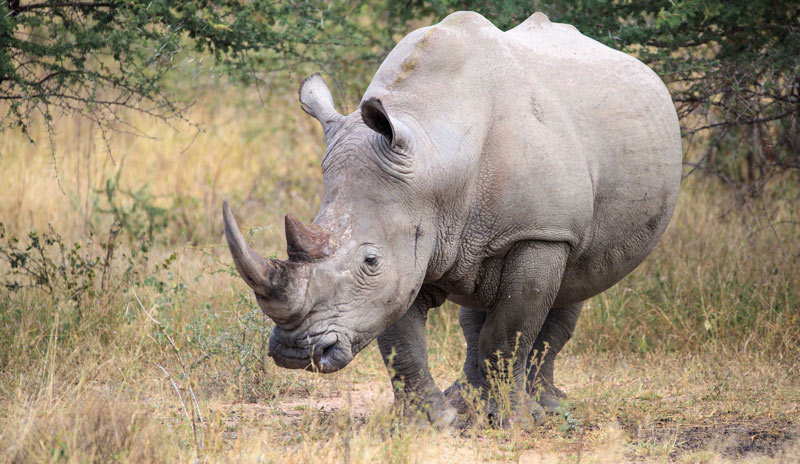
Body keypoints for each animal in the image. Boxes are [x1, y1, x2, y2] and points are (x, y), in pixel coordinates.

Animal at [222, 11, 681, 426]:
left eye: (369, 261)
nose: (296, 353)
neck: (435, 153)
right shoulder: (411, 238)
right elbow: (401, 341)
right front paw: (429, 423)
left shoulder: (540, 232)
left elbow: (510, 330)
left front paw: (514, 422)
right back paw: (465, 403)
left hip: (568, 219)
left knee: (572, 285)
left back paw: (546, 409)